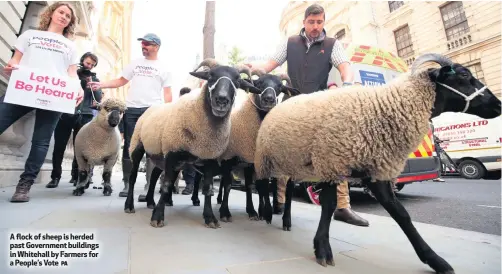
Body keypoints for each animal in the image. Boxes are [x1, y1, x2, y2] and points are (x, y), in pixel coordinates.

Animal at [124, 58, 262, 229]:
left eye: (237, 80)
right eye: (210, 76)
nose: (221, 100)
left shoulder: (209, 157)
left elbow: (208, 188)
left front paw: (210, 218)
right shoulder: (172, 152)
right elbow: (166, 184)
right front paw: (158, 217)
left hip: (160, 154)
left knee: (155, 175)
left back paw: (150, 201)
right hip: (137, 145)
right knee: (133, 176)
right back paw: (129, 205)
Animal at [211, 68, 298, 223]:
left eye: (279, 87)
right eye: (259, 83)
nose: (269, 99)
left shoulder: (252, 162)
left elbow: (255, 186)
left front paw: (256, 211)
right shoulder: (230, 157)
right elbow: (228, 184)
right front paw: (225, 212)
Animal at [253, 52, 500, 272]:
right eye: (464, 75)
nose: (498, 105)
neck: (382, 108)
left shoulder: (375, 170)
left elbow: (401, 214)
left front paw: (435, 260)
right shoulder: (333, 163)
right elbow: (328, 205)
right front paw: (322, 248)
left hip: (292, 160)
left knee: (285, 188)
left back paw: (285, 219)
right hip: (270, 158)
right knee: (271, 187)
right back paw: (270, 213)